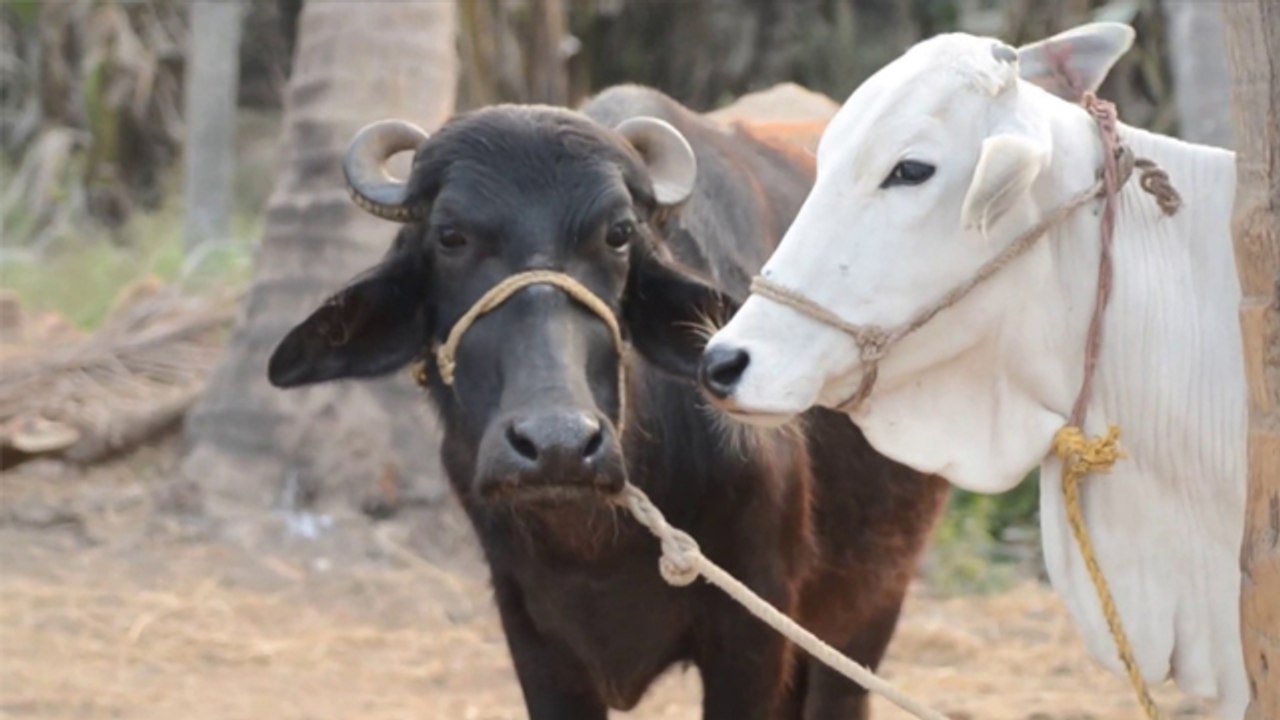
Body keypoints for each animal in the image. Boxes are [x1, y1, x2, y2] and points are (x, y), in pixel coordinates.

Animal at [266, 85, 949, 719]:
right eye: (450, 236)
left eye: (618, 235)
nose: (558, 445)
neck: (594, 547)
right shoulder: (534, 636)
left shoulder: (756, 634)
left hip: (869, 603)